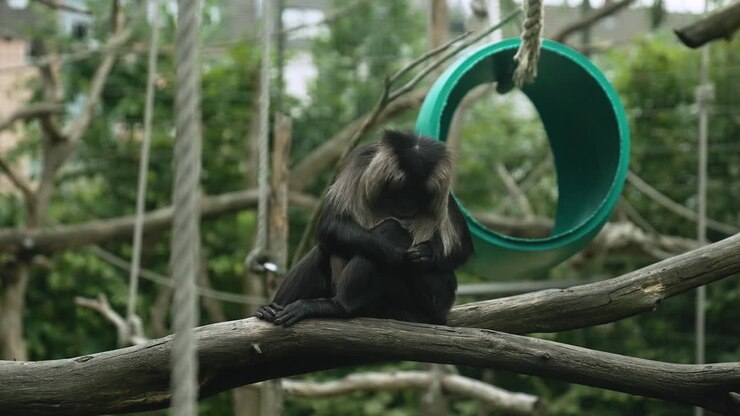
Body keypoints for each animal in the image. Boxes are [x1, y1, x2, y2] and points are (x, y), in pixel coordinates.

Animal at [254, 130, 474, 327]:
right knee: (327, 248)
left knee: (391, 230)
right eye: (402, 189)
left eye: (418, 192)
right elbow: (331, 225)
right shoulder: (361, 163)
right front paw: (395, 253)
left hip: (426, 302)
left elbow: (461, 250)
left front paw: (424, 253)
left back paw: (340, 307)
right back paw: (272, 308)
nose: (408, 204)